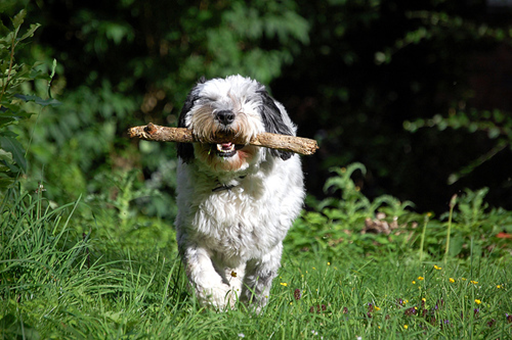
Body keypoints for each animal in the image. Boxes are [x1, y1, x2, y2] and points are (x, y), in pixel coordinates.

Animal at [174, 75, 306, 310]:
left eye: (245, 100)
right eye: (209, 100)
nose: (225, 115)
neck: (230, 184)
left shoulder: (266, 244)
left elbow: (259, 280)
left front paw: (251, 309)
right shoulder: (192, 234)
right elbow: (201, 273)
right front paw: (219, 299)